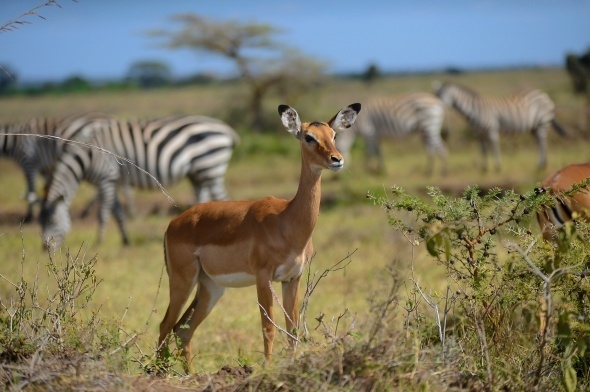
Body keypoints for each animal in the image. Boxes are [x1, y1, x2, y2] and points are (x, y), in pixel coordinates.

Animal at [39, 114, 240, 248]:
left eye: (52, 222)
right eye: (40, 224)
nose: (45, 249)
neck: (87, 156)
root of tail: (226, 128)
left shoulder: (106, 177)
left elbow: (103, 212)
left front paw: (99, 242)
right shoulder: (115, 181)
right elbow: (118, 212)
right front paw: (125, 240)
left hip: (210, 166)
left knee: (223, 198)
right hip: (198, 173)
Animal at [157, 102, 360, 370]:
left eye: (334, 135)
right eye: (309, 137)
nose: (337, 160)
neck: (287, 221)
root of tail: (173, 224)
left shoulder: (292, 279)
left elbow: (292, 329)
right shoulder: (264, 278)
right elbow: (268, 328)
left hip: (211, 286)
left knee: (182, 330)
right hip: (183, 281)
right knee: (165, 325)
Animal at [434, 81, 568, 172]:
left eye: (440, 95)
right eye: (435, 94)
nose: (436, 104)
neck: (475, 110)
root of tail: (542, 93)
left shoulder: (492, 130)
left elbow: (495, 148)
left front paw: (498, 167)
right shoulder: (479, 134)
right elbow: (483, 150)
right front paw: (484, 169)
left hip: (542, 123)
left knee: (543, 143)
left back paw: (541, 165)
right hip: (534, 127)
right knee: (539, 143)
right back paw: (541, 164)